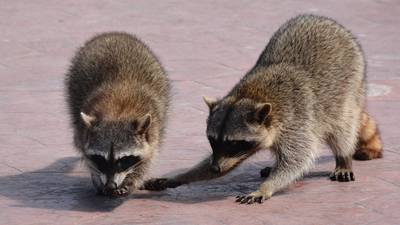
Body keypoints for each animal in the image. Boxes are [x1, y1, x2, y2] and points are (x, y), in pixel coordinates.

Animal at [64, 32, 170, 197]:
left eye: (124, 159)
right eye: (100, 159)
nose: (110, 185)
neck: (118, 113)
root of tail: (112, 34)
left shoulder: (153, 128)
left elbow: (147, 159)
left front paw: (132, 180)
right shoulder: (83, 130)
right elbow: (84, 152)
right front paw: (97, 177)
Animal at [145, 14, 382, 204]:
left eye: (234, 143)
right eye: (212, 140)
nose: (215, 167)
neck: (252, 95)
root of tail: (327, 21)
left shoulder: (297, 121)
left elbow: (298, 159)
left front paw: (266, 187)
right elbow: (225, 165)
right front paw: (182, 176)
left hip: (350, 88)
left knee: (342, 128)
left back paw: (343, 158)